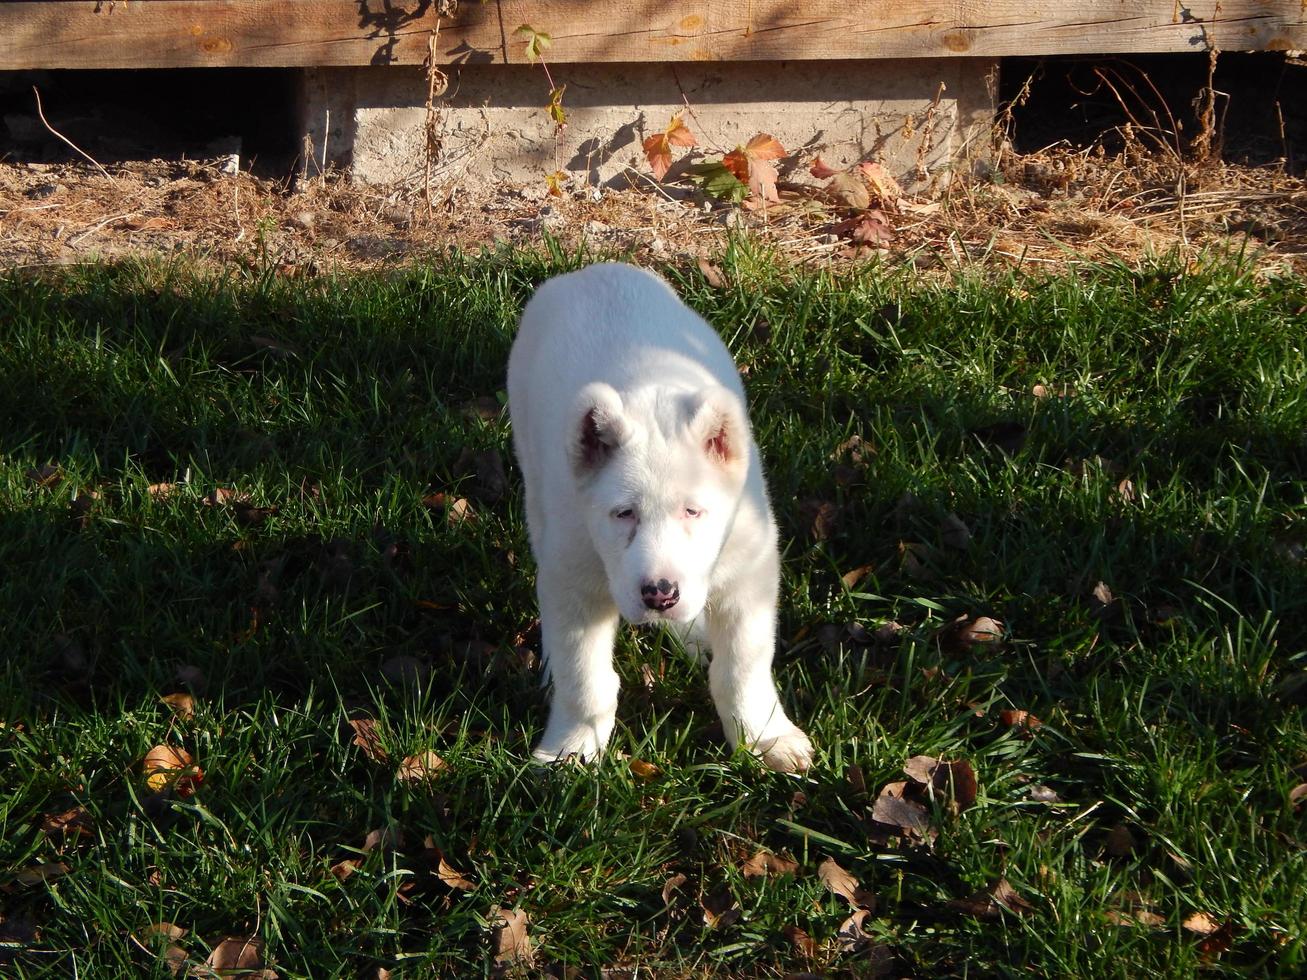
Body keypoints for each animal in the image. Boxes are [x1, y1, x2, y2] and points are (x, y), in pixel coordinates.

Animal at [504, 262, 810, 773]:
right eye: (623, 514)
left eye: (693, 511)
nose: (660, 594)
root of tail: (594, 270)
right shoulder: (576, 578)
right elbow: (584, 677)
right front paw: (572, 749)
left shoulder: (748, 575)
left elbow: (743, 668)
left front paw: (765, 738)